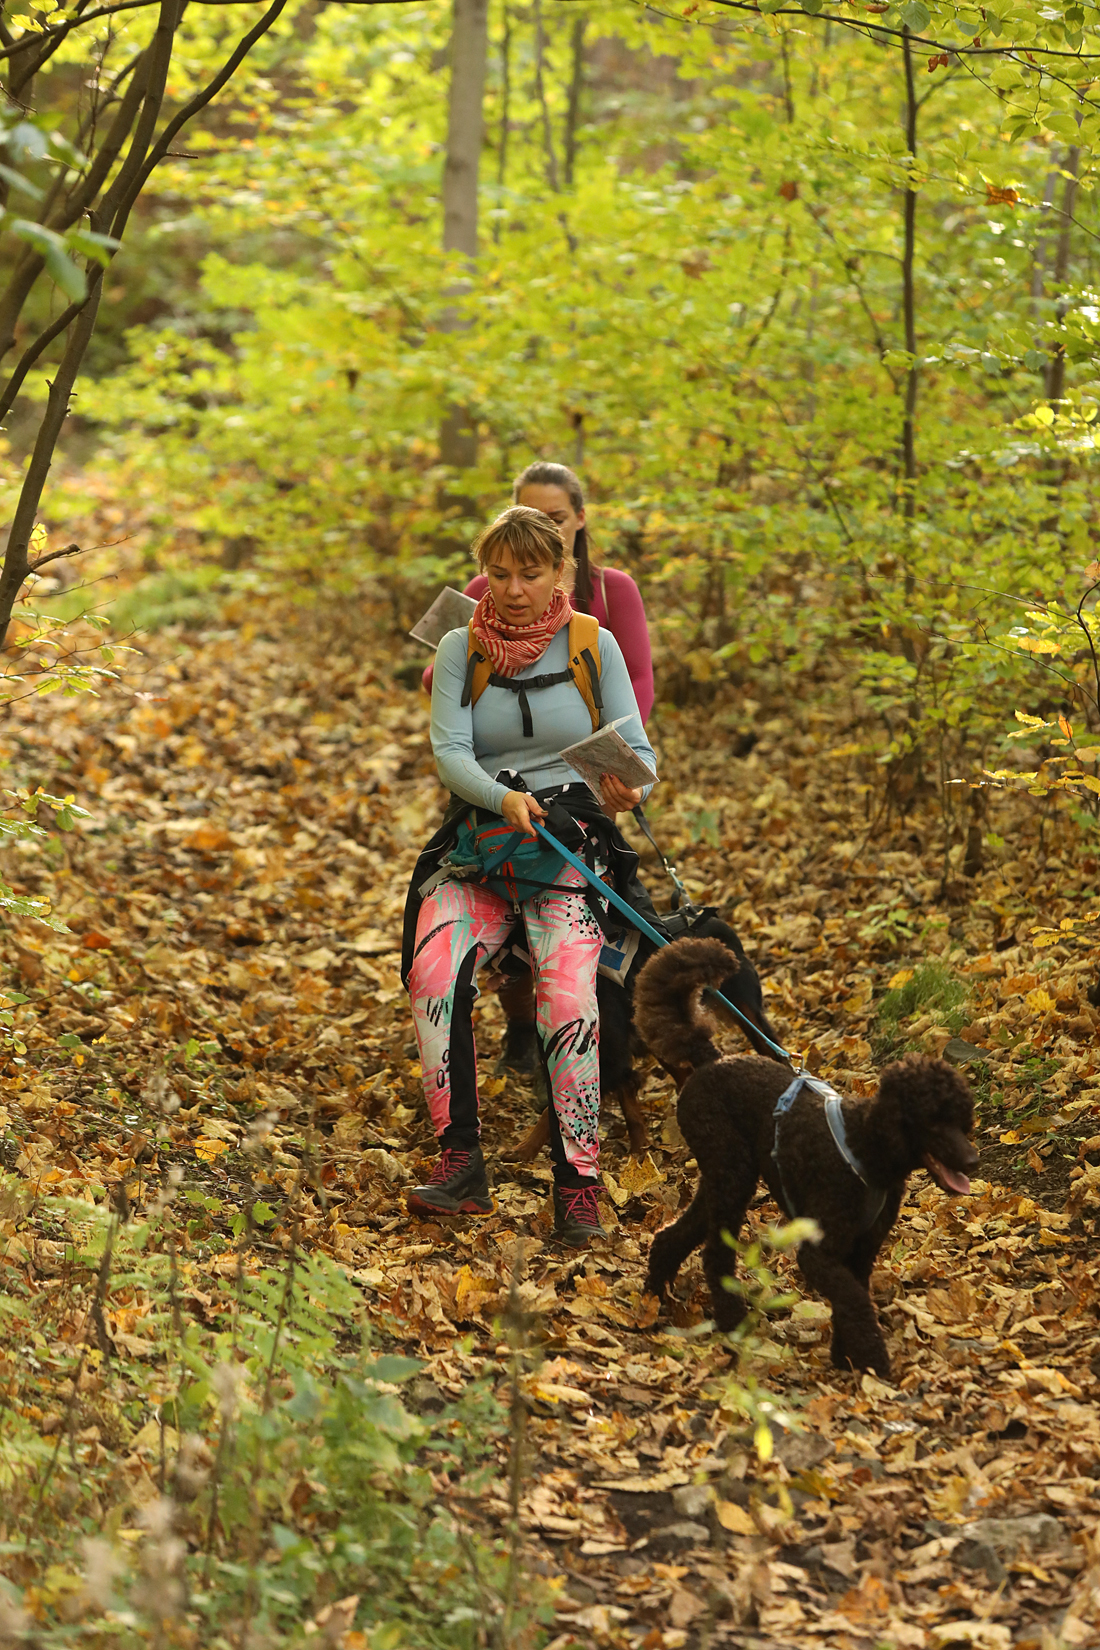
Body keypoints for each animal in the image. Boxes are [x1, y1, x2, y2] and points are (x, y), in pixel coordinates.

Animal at [502, 913, 784, 1164]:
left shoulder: (607, 1056)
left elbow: (556, 1108)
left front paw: (524, 1150)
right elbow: (627, 1102)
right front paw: (640, 1150)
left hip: (746, 1012)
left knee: (773, 1051)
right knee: (684, 1073)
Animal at [635, 937, 977, 1378]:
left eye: (962, 1117)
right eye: (934, 1122)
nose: (972, 1161)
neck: (867, 1145)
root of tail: (711, 1058)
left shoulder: (861, 1249)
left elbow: (853, 1296)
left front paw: (847, 1360)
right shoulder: (819, 1251)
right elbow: (854, 1300)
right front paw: (874, 1363)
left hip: (724, 1172)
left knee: (679, 1233)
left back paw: (654, 1295)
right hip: (731, 1171)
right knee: (715, 1254)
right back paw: (733, 1323)